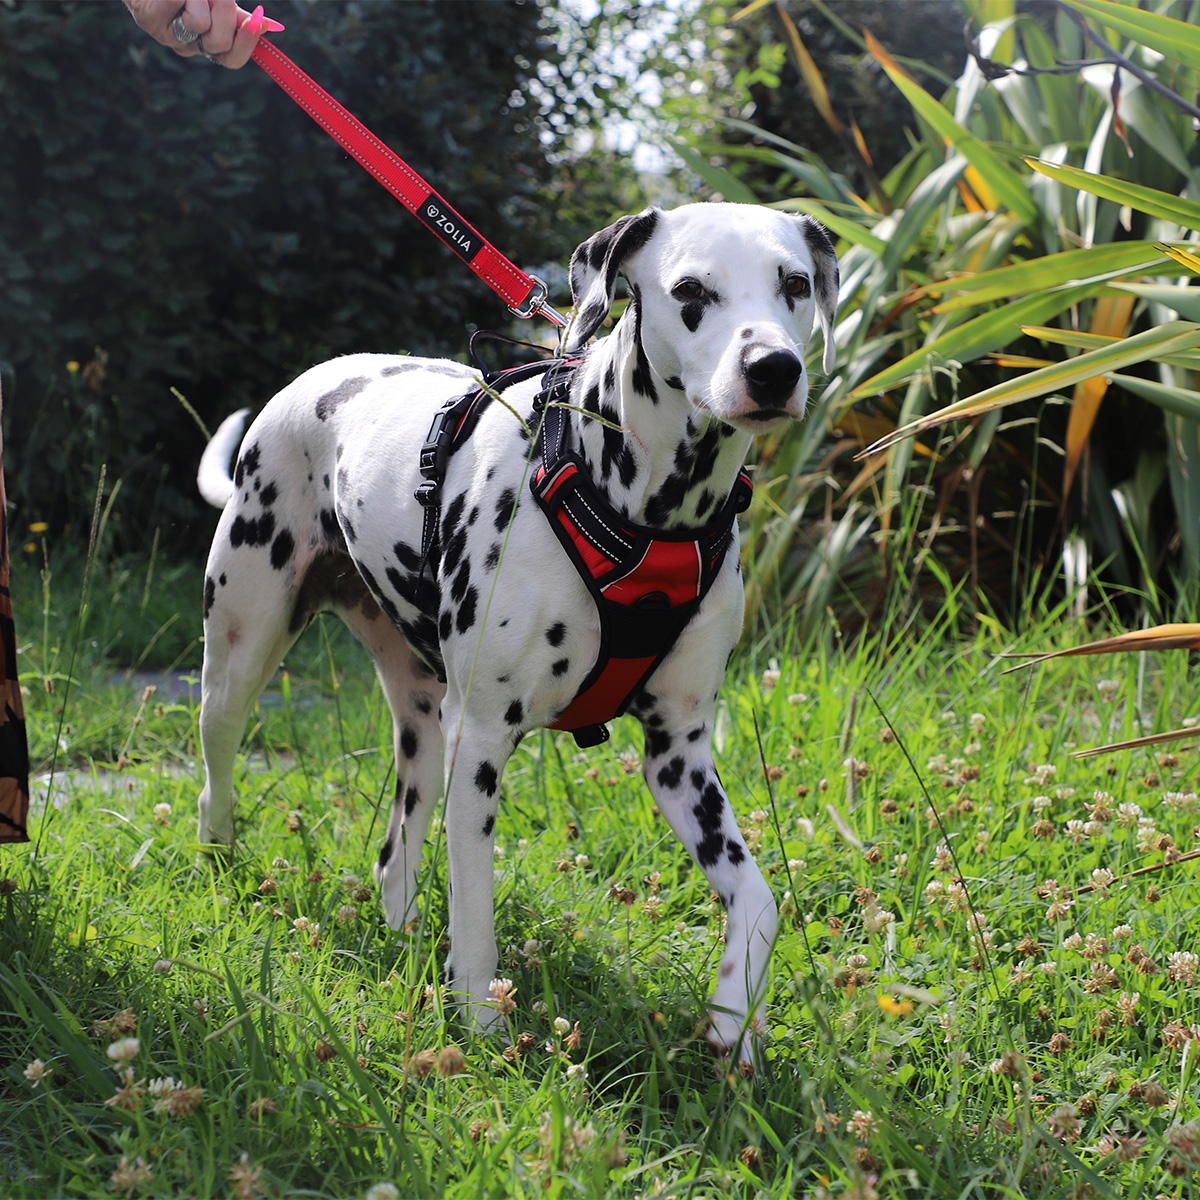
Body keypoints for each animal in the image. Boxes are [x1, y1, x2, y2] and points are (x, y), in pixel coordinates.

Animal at [194, 204, 835, 1060]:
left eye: (793, 283)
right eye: (691, 290)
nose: (773, 368)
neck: (642, 509)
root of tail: (309, 385)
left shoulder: (680, 755)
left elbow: (758, 901)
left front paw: (734, 1018)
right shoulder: (481, 743)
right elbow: (475, 912)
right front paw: (480, 1022)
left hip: (423, 729)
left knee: (395, 855)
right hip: (242, 657)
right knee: (217, 771)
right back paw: (219, 859)